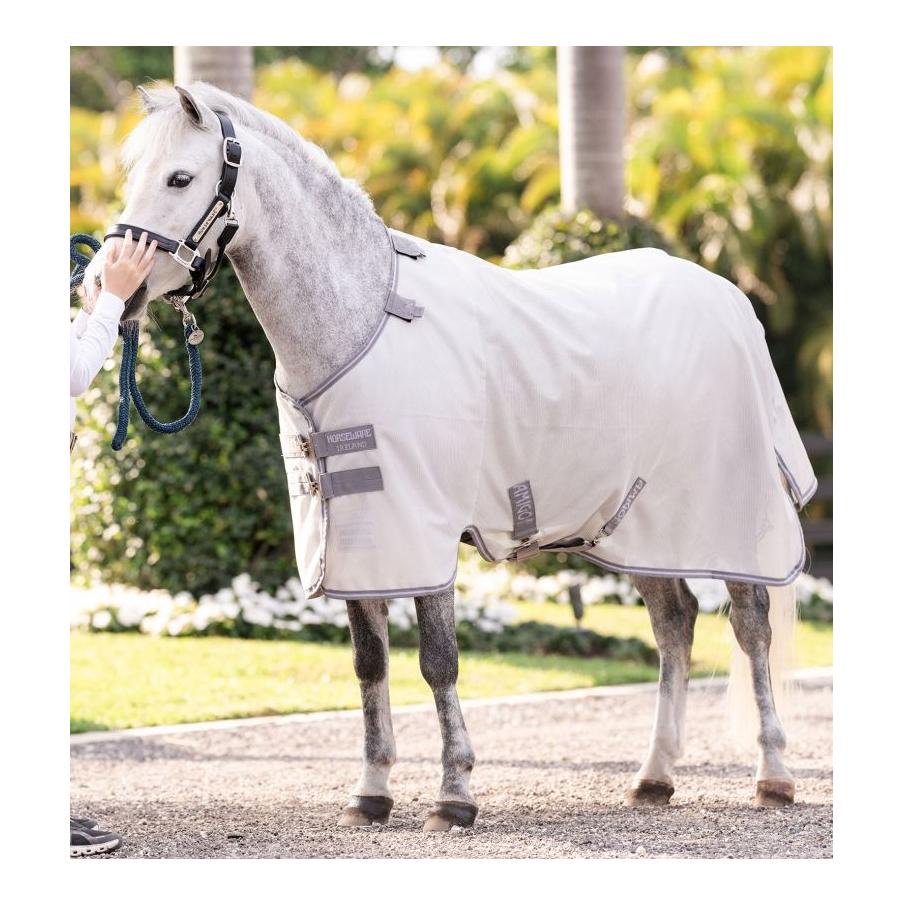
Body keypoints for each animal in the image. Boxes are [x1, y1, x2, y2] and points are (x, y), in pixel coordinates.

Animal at [82, 82, 812, 831]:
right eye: (133, 174)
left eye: (180, 177)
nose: (107, 284)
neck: (363, 321)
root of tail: (731, 299)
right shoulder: (360, 536)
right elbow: (370, 663)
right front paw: (372, 792)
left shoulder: (424, 529)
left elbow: (438, 661)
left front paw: (454, 795)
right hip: (637, 529)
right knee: (675, 624)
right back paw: (654, 778)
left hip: (727, 523)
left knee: (750, 629)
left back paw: (773, 775)